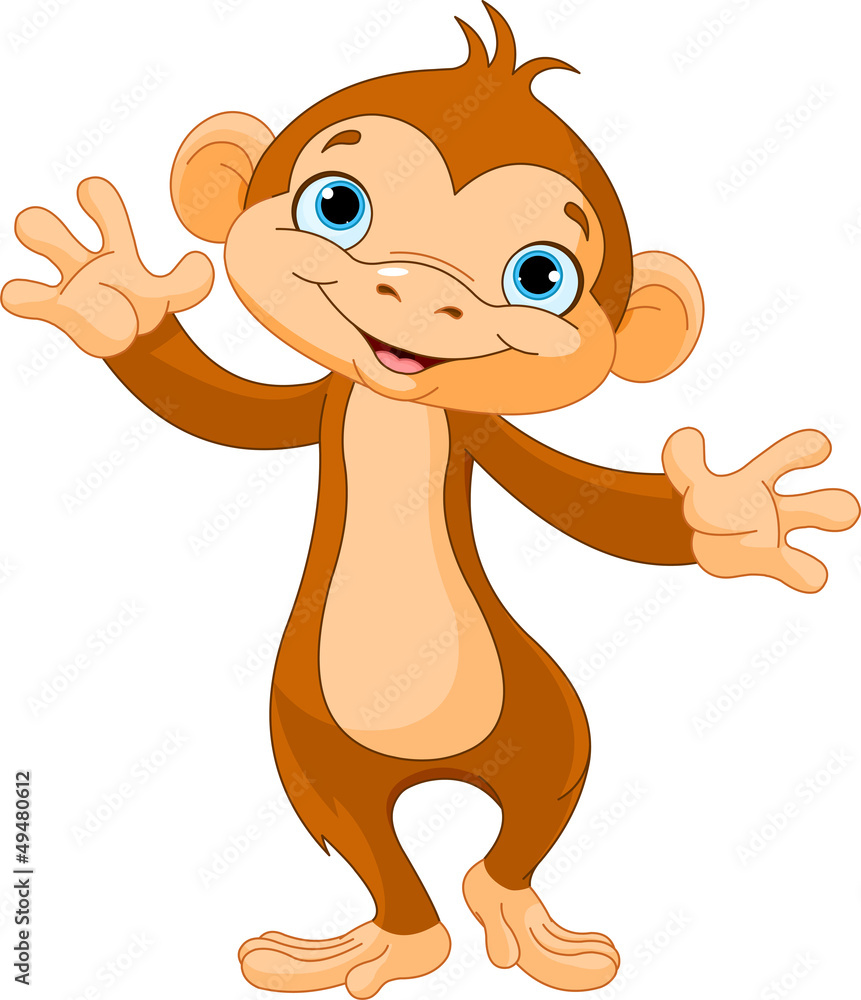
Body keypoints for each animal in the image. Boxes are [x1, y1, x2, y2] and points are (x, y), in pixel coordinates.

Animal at [3, 4, 858, 997]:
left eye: (540, 277)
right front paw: (111, 299)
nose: (419, 292)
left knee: (534, 811)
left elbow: (589, 506)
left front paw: (734, 515)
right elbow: (216, 410)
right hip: (318, 753)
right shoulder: (321, 406)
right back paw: (387, 942)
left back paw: (517, 918)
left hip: (538, 724)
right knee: (371, 845)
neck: (399, 408)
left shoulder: (482, 434)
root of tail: (437, 767)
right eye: (337, 205)